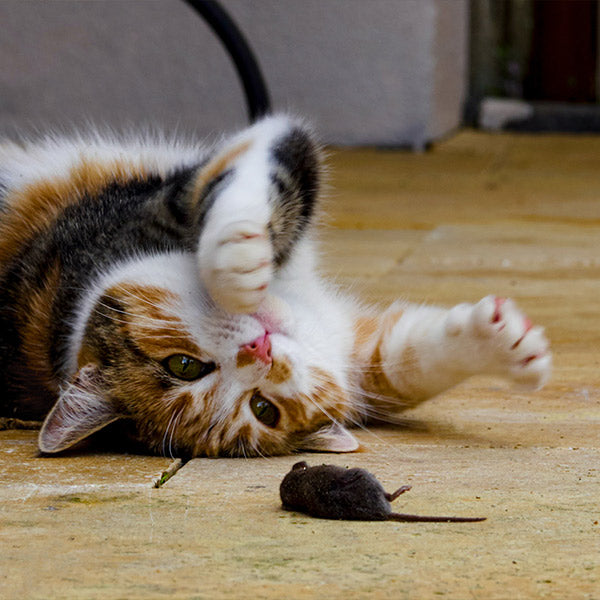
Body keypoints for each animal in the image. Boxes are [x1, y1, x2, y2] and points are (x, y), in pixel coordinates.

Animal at [0, 115, 552, 458]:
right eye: (263, 409)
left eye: (182, 366)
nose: (260, 351)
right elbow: (401, 363)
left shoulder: (165, 204)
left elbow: (407, 362)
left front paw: (507, 344)